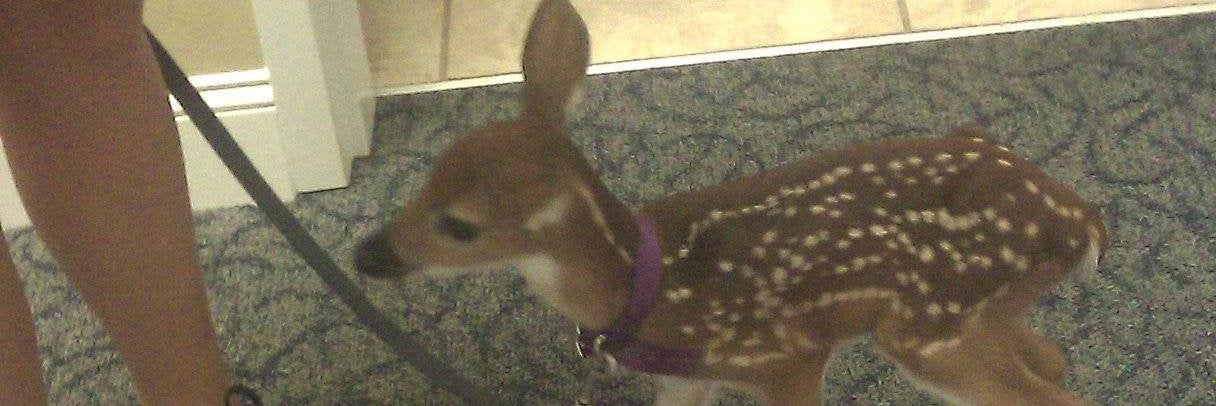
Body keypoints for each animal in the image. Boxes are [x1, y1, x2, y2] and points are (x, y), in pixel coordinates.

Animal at [355, 0, 1107, 404]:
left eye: (460, 225)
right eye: (428, 175)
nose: (368, 255)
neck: (647, 287)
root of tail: (1081, 220)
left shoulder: (787, 358)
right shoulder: (687, 378)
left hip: (930, 328)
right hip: (974, 315)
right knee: (1053, 360)